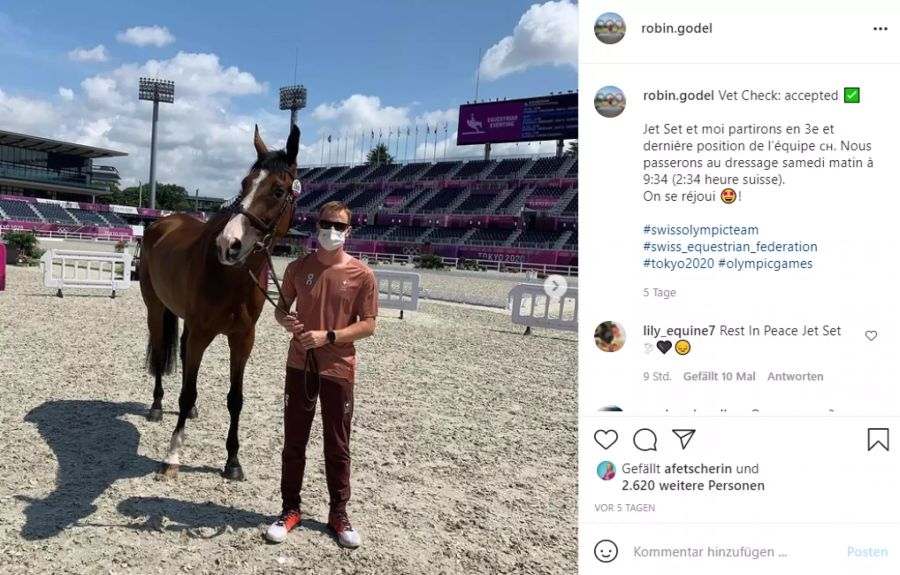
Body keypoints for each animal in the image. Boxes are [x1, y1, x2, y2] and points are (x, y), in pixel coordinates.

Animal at [141, 126, 300, 482]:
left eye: (278, 190)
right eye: (244, 183)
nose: (229, 244)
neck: (231, 277)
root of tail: (161, 222)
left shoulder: (242, 339)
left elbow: (235, 399)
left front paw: (233, 461)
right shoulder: (202, 334)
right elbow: (186, 392)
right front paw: (173, 456)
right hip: (155, 309)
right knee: (159, 353)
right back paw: (156, 407)